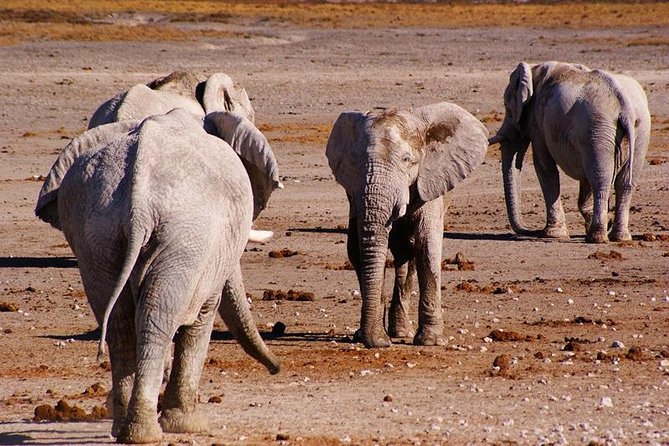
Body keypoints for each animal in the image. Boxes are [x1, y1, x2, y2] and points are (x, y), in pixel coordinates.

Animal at [34, 110, 280, 444]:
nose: (277, 368)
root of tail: (137, 205)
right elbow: (202, 318)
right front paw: (189, 426)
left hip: (98, 234)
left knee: (120, 323)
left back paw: (125, 429)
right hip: (184, 237)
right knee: (156, 318)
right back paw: (147, 432)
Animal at [326, 102, 488, 348]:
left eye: (406, 160)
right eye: (356, 164)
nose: (380, 343)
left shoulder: (429, 182)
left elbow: (427, 248)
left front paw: (430, 341)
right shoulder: (354, 195)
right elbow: (356, 250)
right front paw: (370, 336)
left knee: (410, 253)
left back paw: (401, 333)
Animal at [488, 60, 648, 242]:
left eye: (506, 105)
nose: (533, 231)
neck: (534, 70)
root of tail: (624, 105)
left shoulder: (539, 122)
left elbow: (543, 166)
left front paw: (552, 234)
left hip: (597, 128)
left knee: (600, 179)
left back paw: (596, 238)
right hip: (638, 129)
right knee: (625, 183)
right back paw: (619, 237)